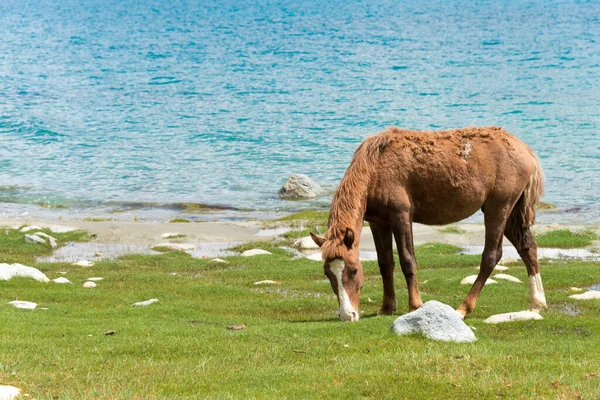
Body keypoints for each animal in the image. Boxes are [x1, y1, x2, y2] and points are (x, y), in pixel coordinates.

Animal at [312, 128, 548, 322]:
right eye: (327, 273)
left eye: (353, 271)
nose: (347, 315)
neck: (376, 166)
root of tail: (525, 150)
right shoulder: (378, 223)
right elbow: (385, 263)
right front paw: (387, 308)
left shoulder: (401, 216)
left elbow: (407, 261)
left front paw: (415, 306)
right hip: (509, 215)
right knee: (528, 248)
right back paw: (537, 303)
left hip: (497, 210)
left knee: (491, 256)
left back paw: (463, 308)